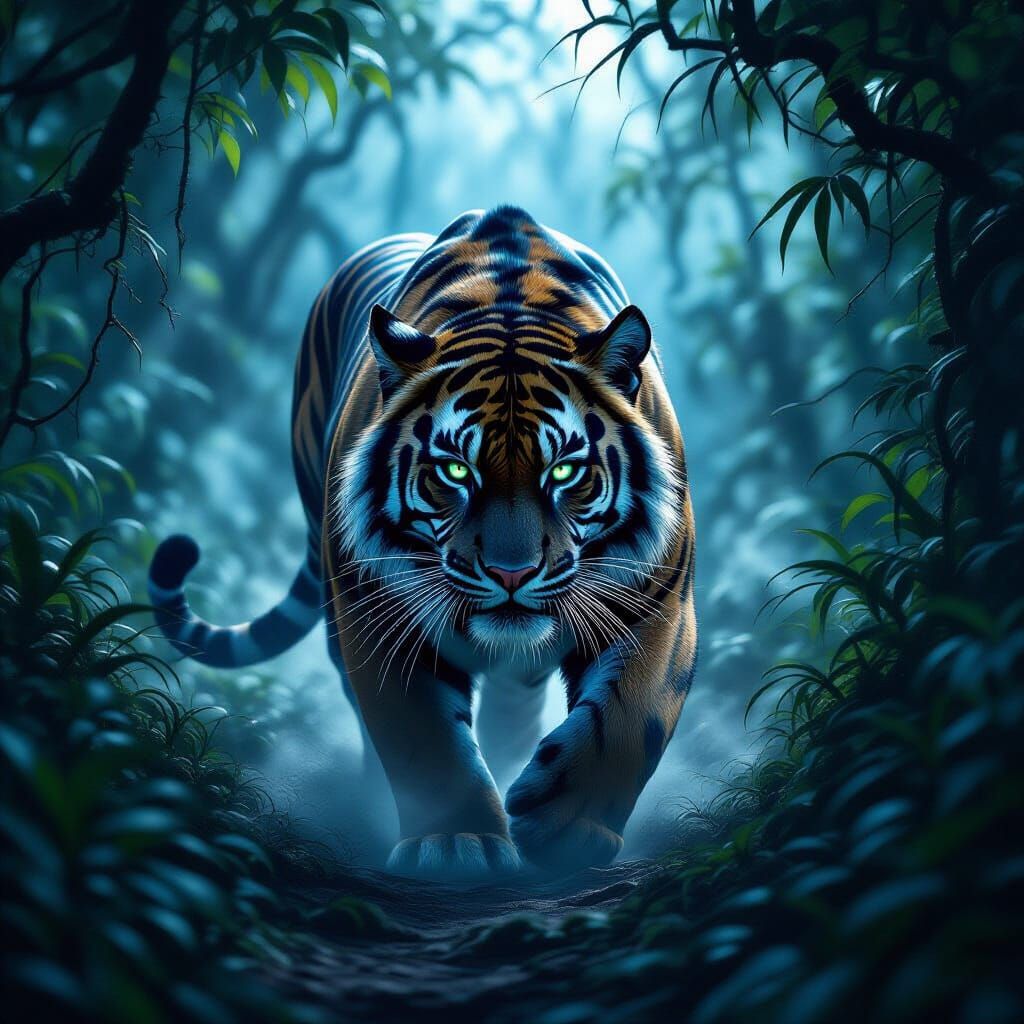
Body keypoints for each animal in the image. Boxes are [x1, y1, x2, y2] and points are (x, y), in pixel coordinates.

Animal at [149, 205, 697, 879]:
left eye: (565, 471)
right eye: (456, 472)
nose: (511, 574)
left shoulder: (658, 604)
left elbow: (628, 717)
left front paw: (566, 828)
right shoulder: (376, 611)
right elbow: (421, 736)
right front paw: (456, 843)